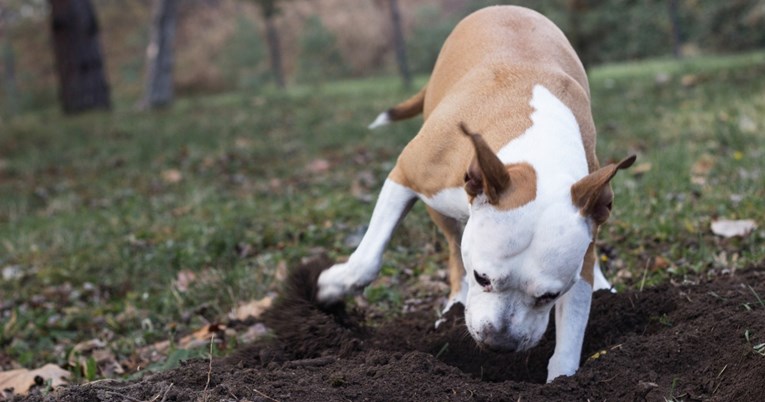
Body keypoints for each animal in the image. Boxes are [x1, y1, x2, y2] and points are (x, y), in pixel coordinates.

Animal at [314, 6, 632, 384]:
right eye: (483, 277)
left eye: (550, 295)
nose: (500, 343)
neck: (538, 149)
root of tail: (506, 7)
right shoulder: (405, 176)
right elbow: (368, 258)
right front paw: (334, 286)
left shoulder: (583, 227)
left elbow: (574, 320)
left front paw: (563, 378)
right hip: (440, 207)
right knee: (454, 245)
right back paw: (454, 303)